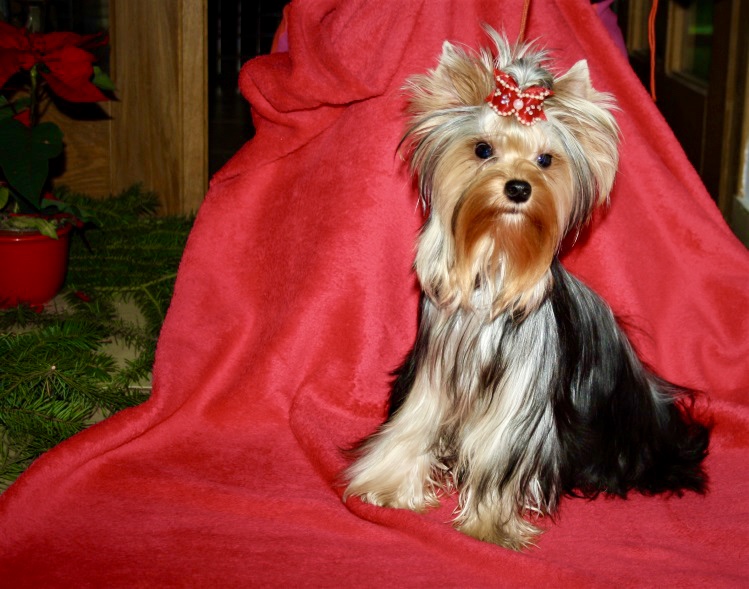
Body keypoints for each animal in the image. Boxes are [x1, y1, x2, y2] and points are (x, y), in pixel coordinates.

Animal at [343, 29, 709, 550]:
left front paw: (489, 524)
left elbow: (501, 449)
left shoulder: (523, 392)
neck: (496, 260)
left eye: (545, 160)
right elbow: (414, 424)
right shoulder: (433, 369)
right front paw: (387, 487)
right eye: (482, 150)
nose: (518, 187)